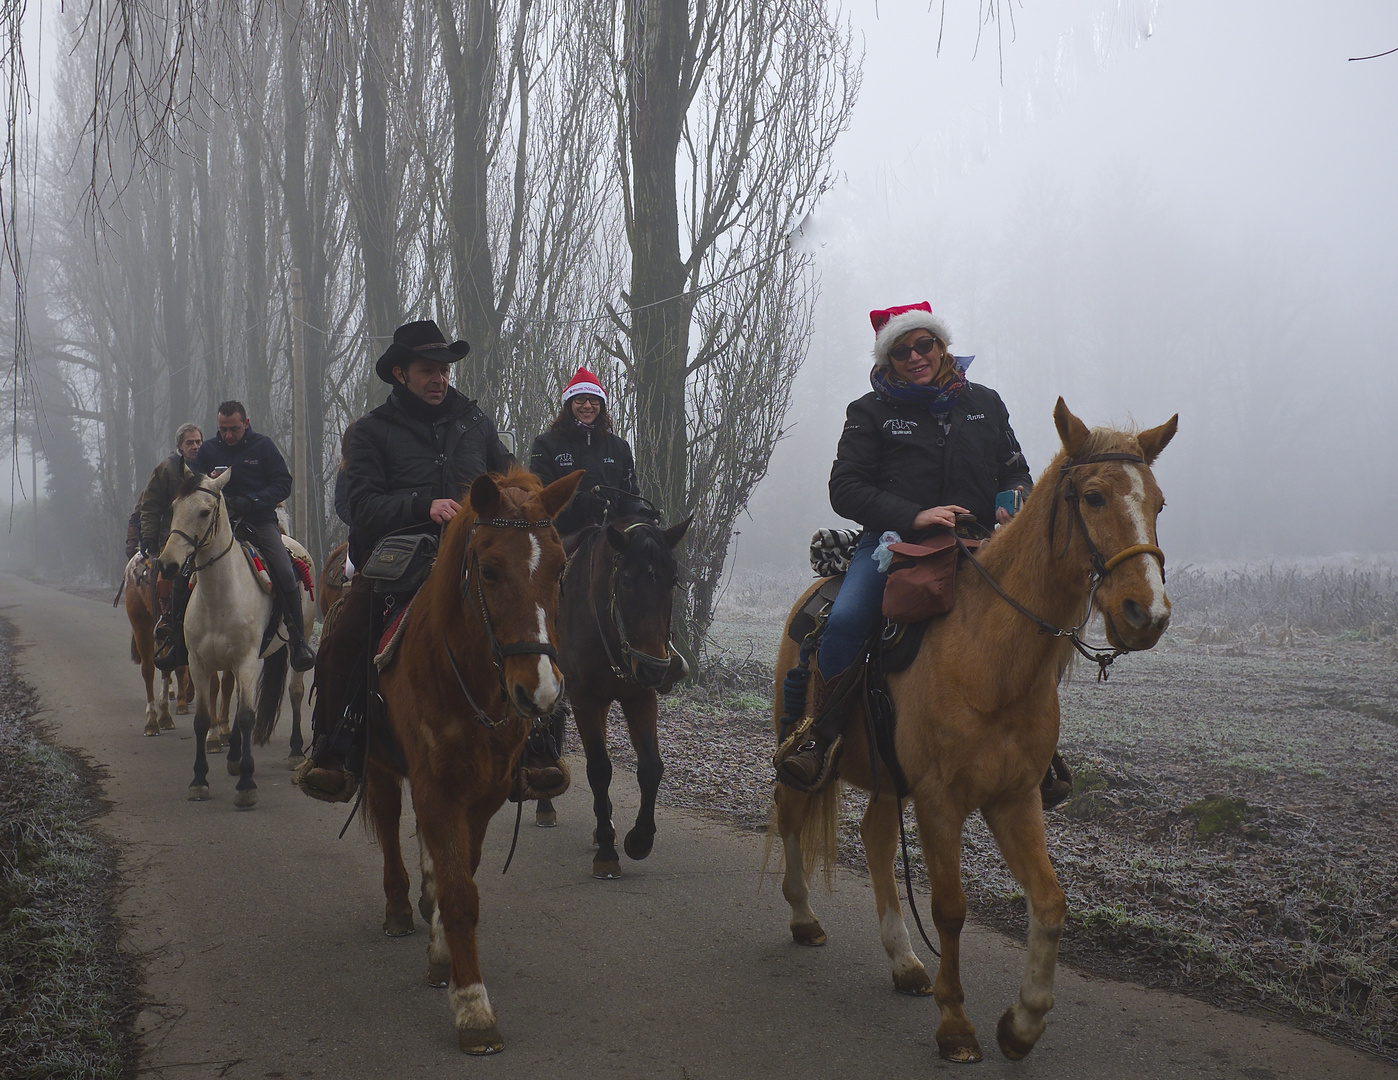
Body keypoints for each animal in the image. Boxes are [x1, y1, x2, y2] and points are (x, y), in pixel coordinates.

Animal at [160, 466, 308, 804]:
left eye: (204, 511)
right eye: (174, 507)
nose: (168, 564)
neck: (220, 596)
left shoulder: (246, 660)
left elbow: (246, 716)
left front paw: (246, 785)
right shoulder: (200, 663)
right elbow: (203, 719)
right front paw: (199, 780)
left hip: (291, 648)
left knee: (294, 691)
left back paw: (295, 751)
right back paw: (235, 757)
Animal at [360, 466, 584, 1050]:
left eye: (560, 567)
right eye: (489, 570)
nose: (540, 692)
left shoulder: (484, 792)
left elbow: (461, 879)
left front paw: (443, 955)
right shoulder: (436, 784)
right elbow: (460, 894)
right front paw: (473, 1008)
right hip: (380, 764)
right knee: (389, 822)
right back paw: (398, 906)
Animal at [548, 508, 696, 871]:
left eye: (671, 581)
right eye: (626, 581)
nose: (655, 668)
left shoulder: (639, 695)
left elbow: (651, 767)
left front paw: (639, 838)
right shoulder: (585, 699)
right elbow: (599, 769)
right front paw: (606, 851)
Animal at [771, 396, 1174, 1061]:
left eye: (1158, 503)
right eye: (1092, 496)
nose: (1148, 614)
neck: (990, 657)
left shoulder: (1016, 798)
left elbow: (1050, 902)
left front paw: (1023, 1022)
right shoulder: (940, 801)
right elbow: (950, 910)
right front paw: (956, 1024)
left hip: (889, 779)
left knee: (875, 837)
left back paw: (905, 962)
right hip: (806, 754)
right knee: (790, 814)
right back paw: (804, 920)